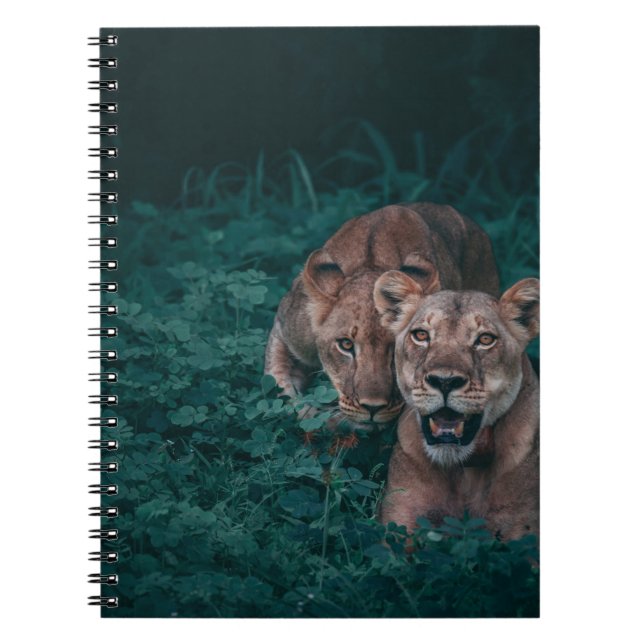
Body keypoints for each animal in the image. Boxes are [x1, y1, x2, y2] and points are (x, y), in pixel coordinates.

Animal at [264, 202, 499, 428]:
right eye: (346, 345)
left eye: (396, 349)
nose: (372, 408)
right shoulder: (288, 330)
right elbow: (278, 380)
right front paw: (308, 412)